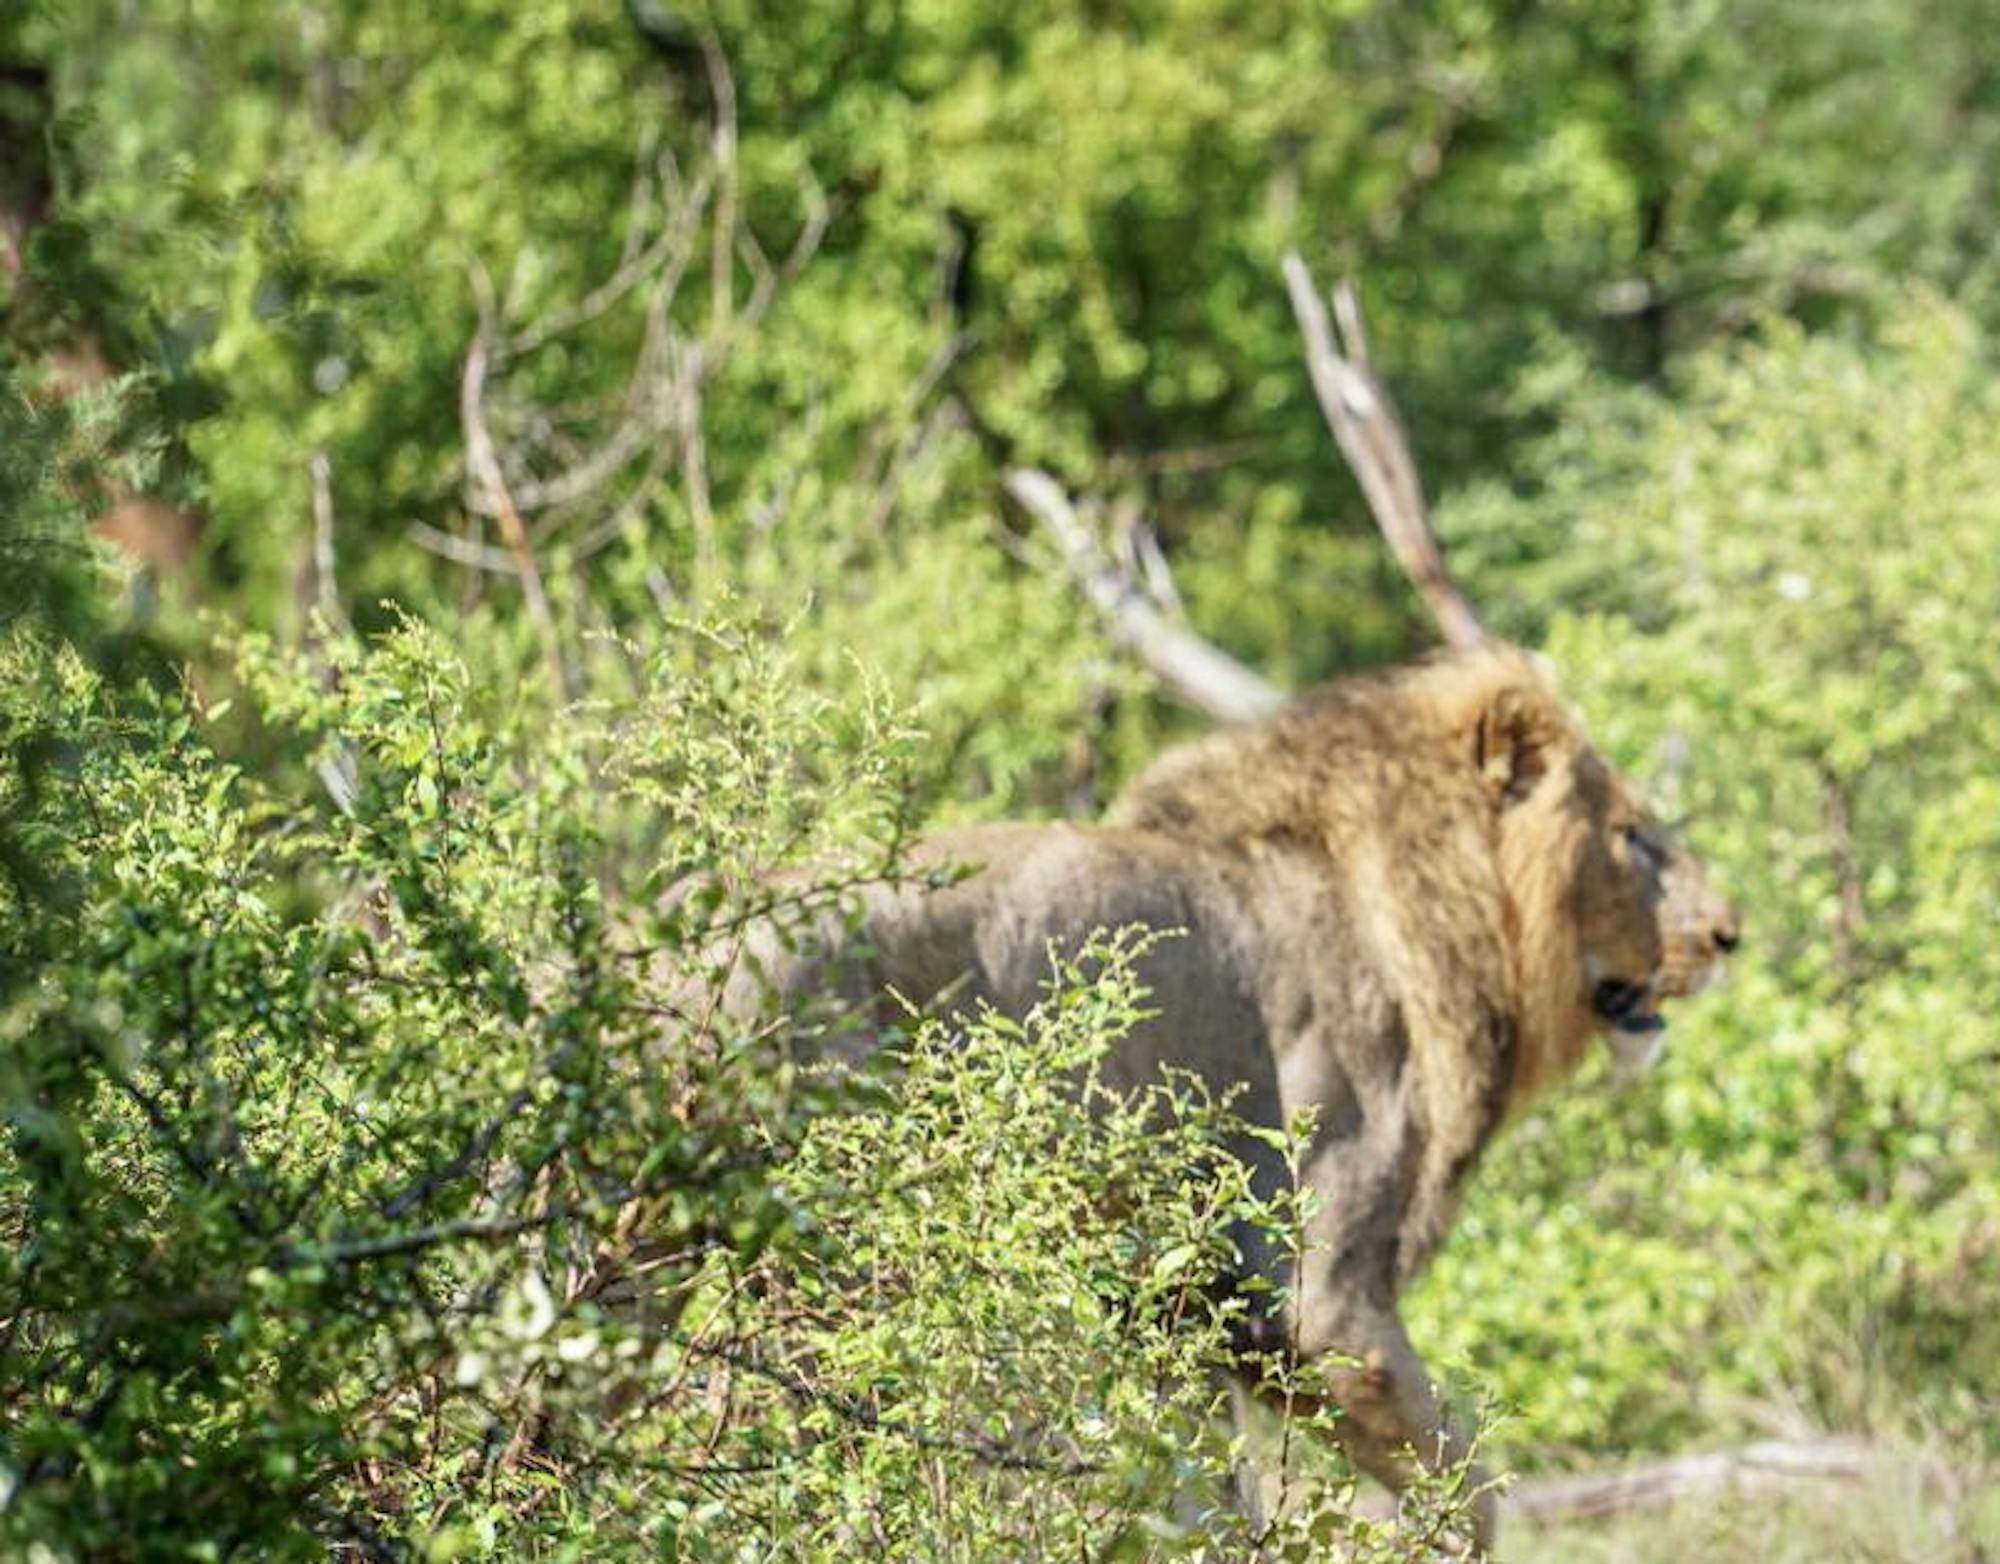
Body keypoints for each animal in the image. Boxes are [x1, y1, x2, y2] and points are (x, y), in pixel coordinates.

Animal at [720, 644, 1736, 1552]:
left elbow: (1198, 1496)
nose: (1731, 932)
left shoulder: (1182, 1300)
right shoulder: (1311, 1297)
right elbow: (1467, 1495)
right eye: (1632, 836)